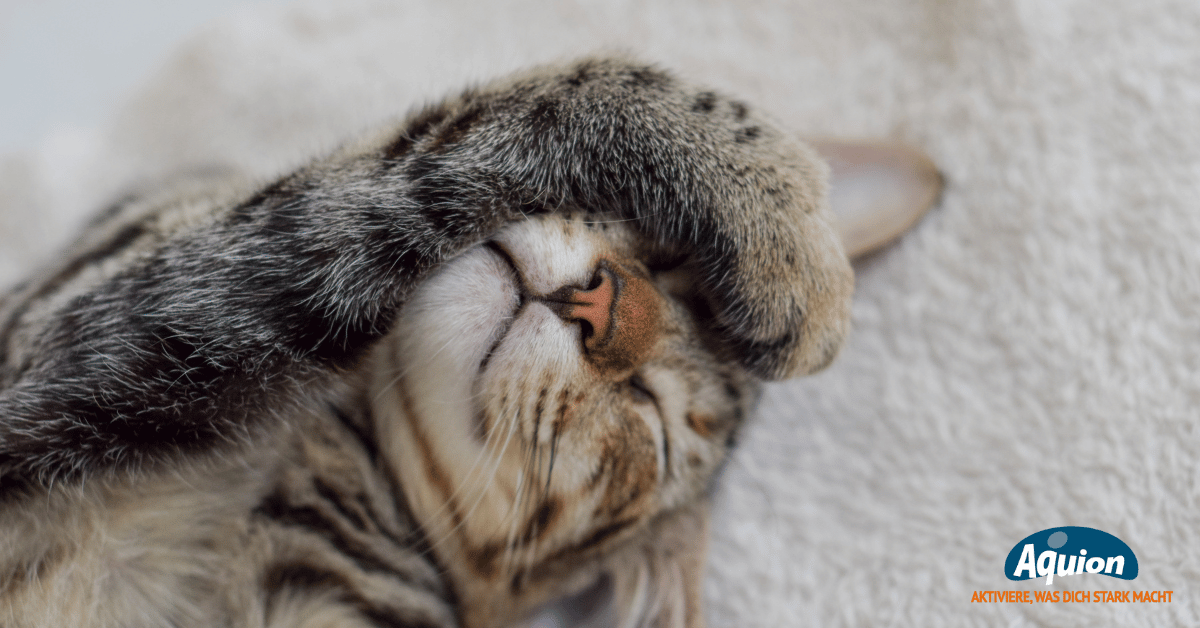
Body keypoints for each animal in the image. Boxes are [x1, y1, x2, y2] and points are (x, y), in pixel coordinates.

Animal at [2, 56, 864, 624]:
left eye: (648, 417)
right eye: (670, 263)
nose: (603, 305)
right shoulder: (66, 334)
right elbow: (497, 112)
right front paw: (779, 209)